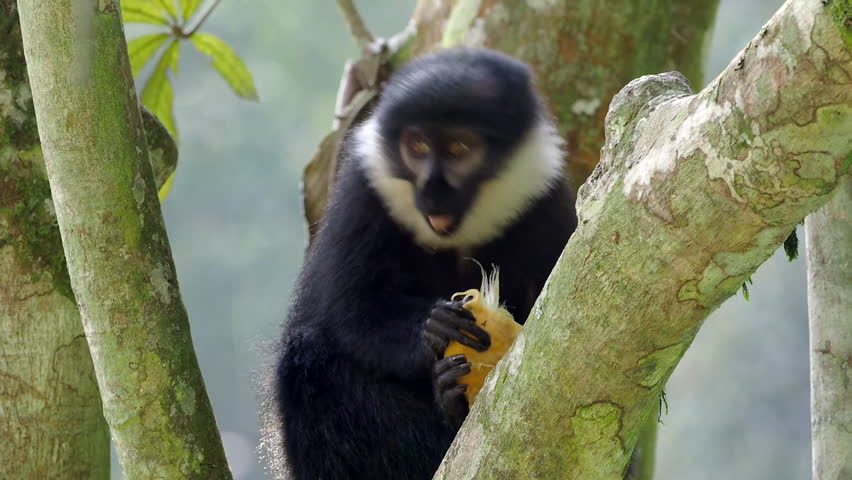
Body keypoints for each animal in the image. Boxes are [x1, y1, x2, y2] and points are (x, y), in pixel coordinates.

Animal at [271, 47, 577, 480]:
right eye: (416, 147)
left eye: (458, 149)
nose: (432, 189)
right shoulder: (362, 196)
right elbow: (352, 311)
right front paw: (434, 327)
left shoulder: (547, 203)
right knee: (305, 364)